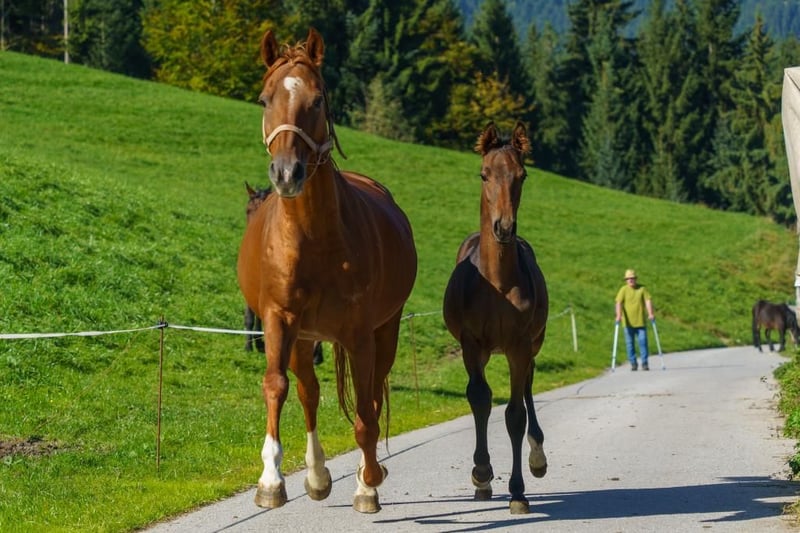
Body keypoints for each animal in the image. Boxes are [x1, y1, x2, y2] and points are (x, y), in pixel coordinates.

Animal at [442, 121, 549, 515]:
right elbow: (480, 399)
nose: (504, 227)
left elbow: (515, 414)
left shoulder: (519, 345)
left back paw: (538, 455)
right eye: (484, 174)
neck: (498, 285)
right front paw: (482, 473)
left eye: (522, 175)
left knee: (529, 386)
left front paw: (518, 492)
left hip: (532, 344)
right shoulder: (472, 344)